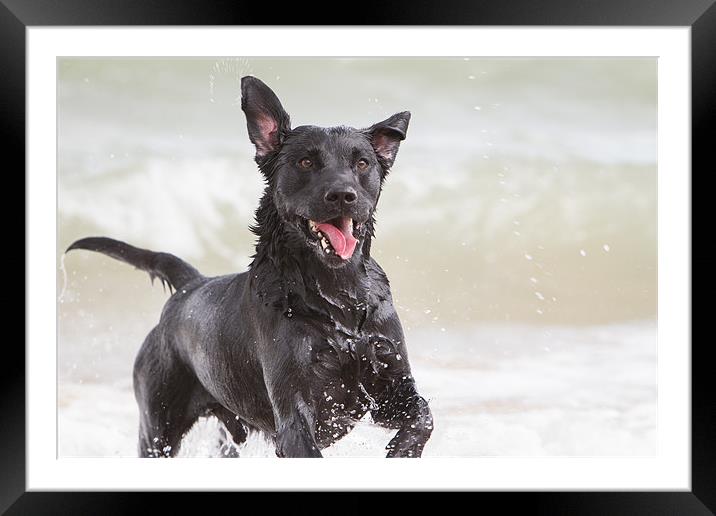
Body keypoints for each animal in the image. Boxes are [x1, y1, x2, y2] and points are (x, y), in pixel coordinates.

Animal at [67, 75, 434, 456]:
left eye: (362, 164)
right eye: (306, 162)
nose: (343, 195)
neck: (336, 296)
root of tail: (190, 286)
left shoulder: (388, 381)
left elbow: (423, 414)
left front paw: (402, 449)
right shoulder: (294, 411)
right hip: (158, 421)